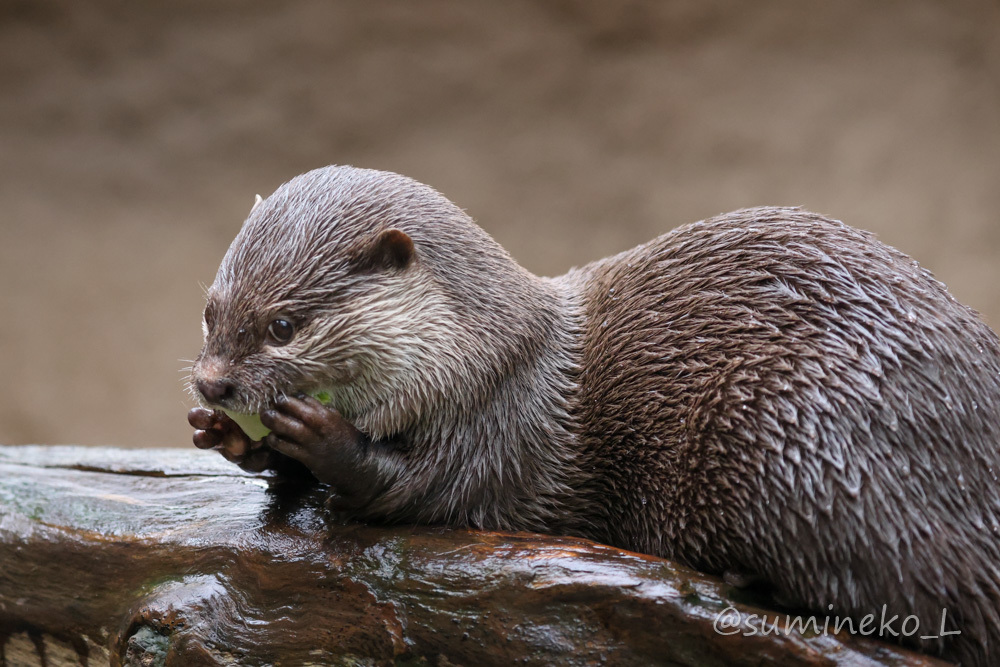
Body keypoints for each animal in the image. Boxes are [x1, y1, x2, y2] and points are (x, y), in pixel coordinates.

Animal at [189, 166, 1000, 664]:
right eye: (210, 310)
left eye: (284, 326)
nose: (211, 384)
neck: (477, 353)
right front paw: (230, 439)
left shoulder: (500, 416)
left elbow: (423, 492)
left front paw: (323, 436)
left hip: (794, 430)